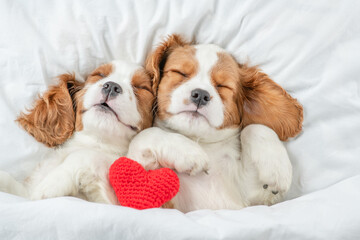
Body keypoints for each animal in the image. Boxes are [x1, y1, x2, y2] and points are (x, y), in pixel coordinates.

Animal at [0, 59, 153, 203]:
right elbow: (11, 184)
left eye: (141, 87)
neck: (96, 142)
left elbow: (84, 155)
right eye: (99, 75)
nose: (112, 86)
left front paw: (50, 184)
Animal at [128, 34, 302, 212]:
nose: (200, 95)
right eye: (180, 73)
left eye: (222, 86)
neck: (200, 141)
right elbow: (144, 135)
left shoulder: (253, 200)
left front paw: (277, 170)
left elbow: (255, 127)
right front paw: (187, 152)